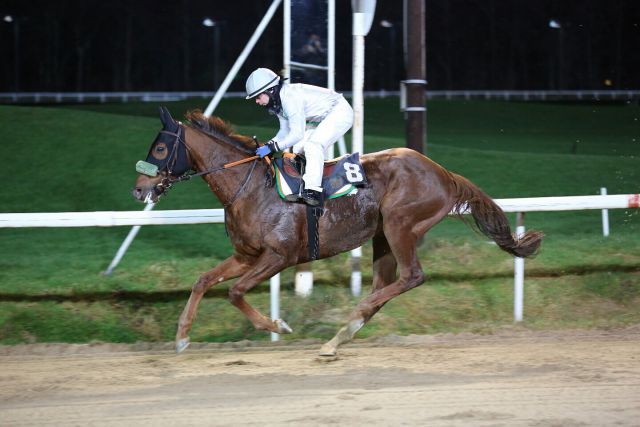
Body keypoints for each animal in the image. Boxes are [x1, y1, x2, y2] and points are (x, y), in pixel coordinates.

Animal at [134, 107, 540, 358]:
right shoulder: (246, 255)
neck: (250, 187)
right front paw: (182, 338)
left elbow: (235, 292)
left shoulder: (278, 256)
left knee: (411, 276)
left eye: (160, 147)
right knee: (386, 285)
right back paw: (340, 335)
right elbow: (203, 281)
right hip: (382, 236)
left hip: (400, 224)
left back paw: (349, 319)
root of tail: (444, 174)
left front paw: (278, 325)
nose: (139, 190)